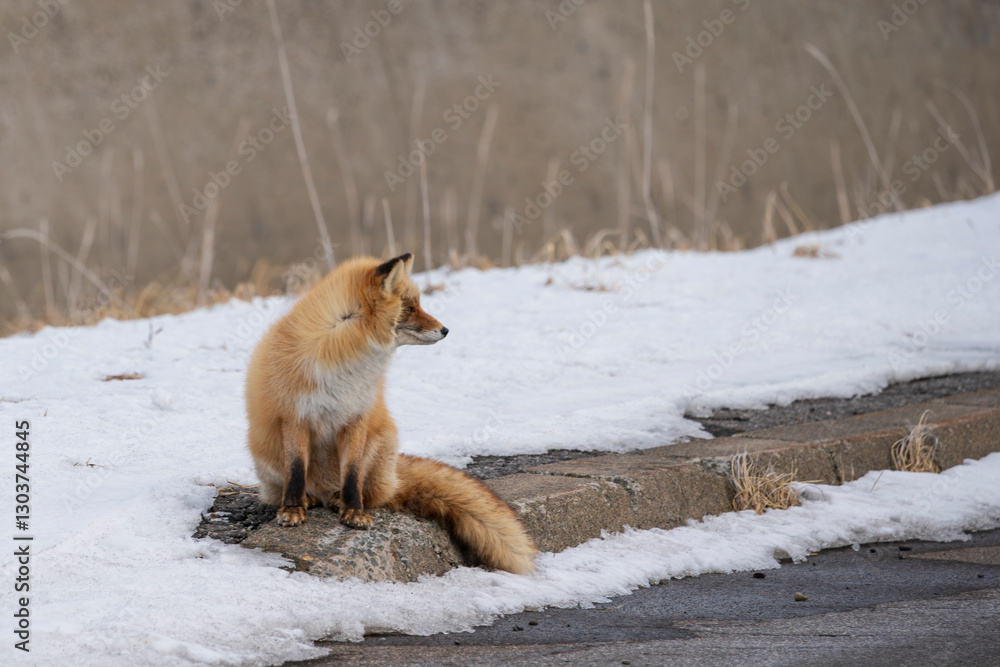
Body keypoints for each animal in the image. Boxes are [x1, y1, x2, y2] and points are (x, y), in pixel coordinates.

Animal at [245, 252, 536, 575]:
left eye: (418, 303)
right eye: (409, 307)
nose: (446, 330)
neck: (343, 354)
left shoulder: (356, 416)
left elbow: (353, 474)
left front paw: (353, 511)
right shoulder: (294, 416)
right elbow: (296, 470)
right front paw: (293, 508)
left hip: (382, 442)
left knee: (371, 493)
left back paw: (338, 500)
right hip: (265, 456)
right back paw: (308, 499)